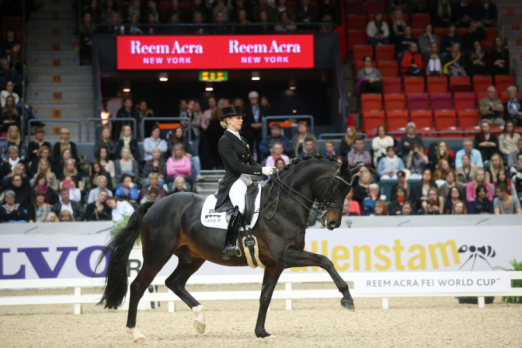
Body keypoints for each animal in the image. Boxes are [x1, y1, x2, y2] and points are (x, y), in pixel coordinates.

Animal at [95, 156, 360, 344]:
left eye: (348, 190)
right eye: (336, 187)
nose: (333, 223)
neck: (283, 205)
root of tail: (155, 204)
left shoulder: (275, 264)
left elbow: (265, 297)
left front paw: (262, 332)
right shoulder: (285, 255)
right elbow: (325, 260)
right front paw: (347, 298)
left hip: (192, 258)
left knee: (174, 282)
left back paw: (200, 320)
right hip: (156, 255)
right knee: (138, 286)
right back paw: (135, 333)